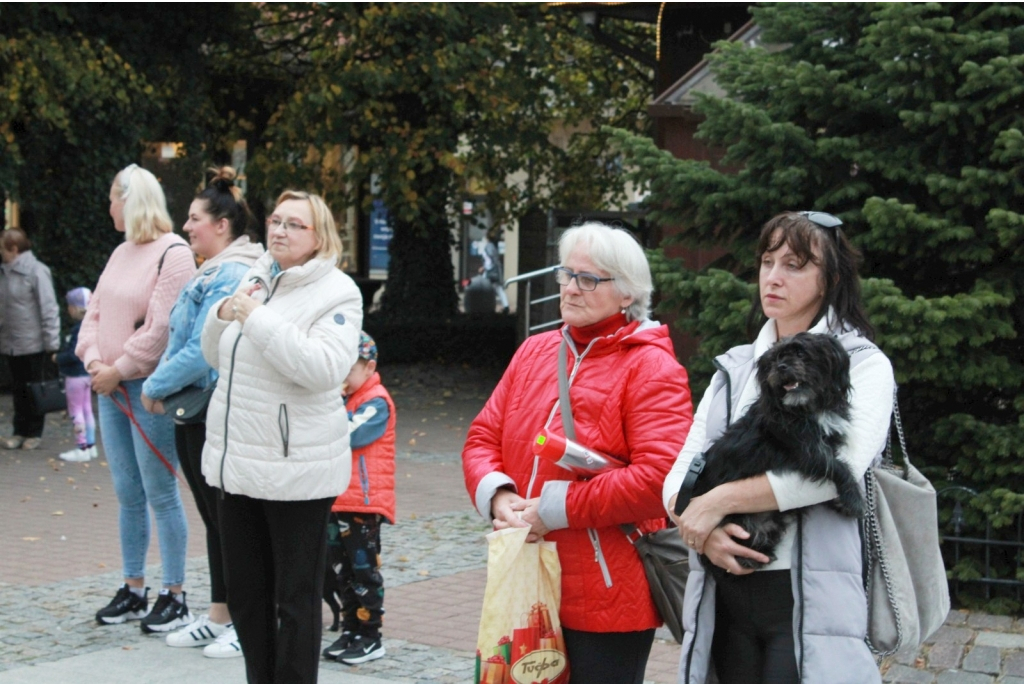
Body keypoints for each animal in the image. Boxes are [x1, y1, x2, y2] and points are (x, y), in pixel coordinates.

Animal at [692, 331, 860, 577]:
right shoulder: (806, 450)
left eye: (800, 352)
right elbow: (836, 466)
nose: (781, 367)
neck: (806, 409)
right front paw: (853, 498)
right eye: (773, 361)